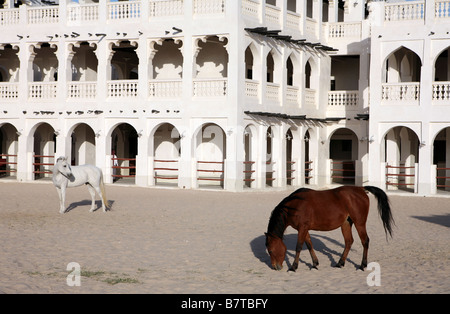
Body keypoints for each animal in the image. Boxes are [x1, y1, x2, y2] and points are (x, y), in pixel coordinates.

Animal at [264, 185, 394, 272]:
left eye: (270, 251)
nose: (275, 267)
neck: (295, 205)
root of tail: (361, 189)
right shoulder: (304, 229)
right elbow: (309, 245)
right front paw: (314, 264)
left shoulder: (302, 228)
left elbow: (299, 247)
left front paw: (293, 267)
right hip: (346, 224)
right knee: (348, 242)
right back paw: (340, 263)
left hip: (360, 223)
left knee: (365, 241)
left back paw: (362, 265)